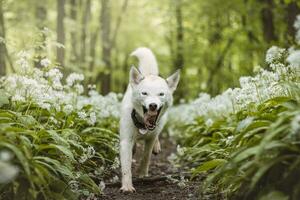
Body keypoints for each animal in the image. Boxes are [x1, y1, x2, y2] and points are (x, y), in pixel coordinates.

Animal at [119, 47, 180, 192]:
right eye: (144, 93)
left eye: (161, 94)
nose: (153, 105)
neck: (143, 125)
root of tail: (148, 73)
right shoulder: (125, 141)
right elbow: (126, 167)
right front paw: (127, 186)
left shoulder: (150, 139)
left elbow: (146, 157)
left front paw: (142, 173)